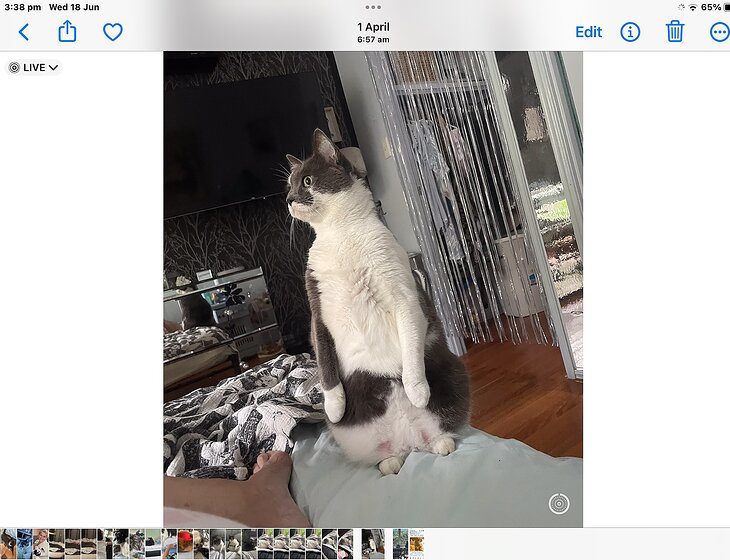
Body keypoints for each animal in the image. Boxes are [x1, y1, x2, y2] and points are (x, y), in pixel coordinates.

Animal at [287, 129, 470, 475]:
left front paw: (417, 391)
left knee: (442, 429)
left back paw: (439, 441)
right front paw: (334, 406)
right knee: (384, 455)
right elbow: (324, 363)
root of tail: (408, 439)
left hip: (454, 373)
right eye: (288, 184)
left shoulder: (404, 295)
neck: (340, 234)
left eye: (306, 180)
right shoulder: (317, 310)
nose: (288, 199)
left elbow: (411, 348)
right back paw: (389, 461)